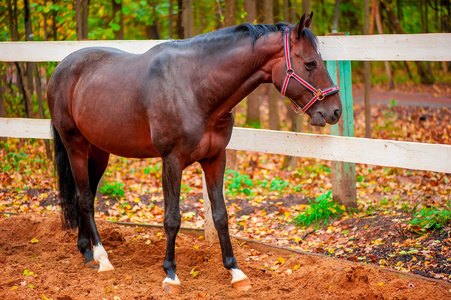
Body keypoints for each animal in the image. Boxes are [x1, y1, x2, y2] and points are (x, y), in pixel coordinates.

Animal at [47, 12, 340, 294]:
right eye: (310, 63)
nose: (335, 111)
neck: (195, 88)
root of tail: (61, 67)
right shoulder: (171, 161)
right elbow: (172, 218)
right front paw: (171, 275)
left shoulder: (215, 158)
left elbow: (220, 215)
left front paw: (236, 272)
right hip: (75, 144)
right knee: (85, 199)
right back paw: (102, 258)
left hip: (98, 151)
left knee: (84, 196)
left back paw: (86, 251)